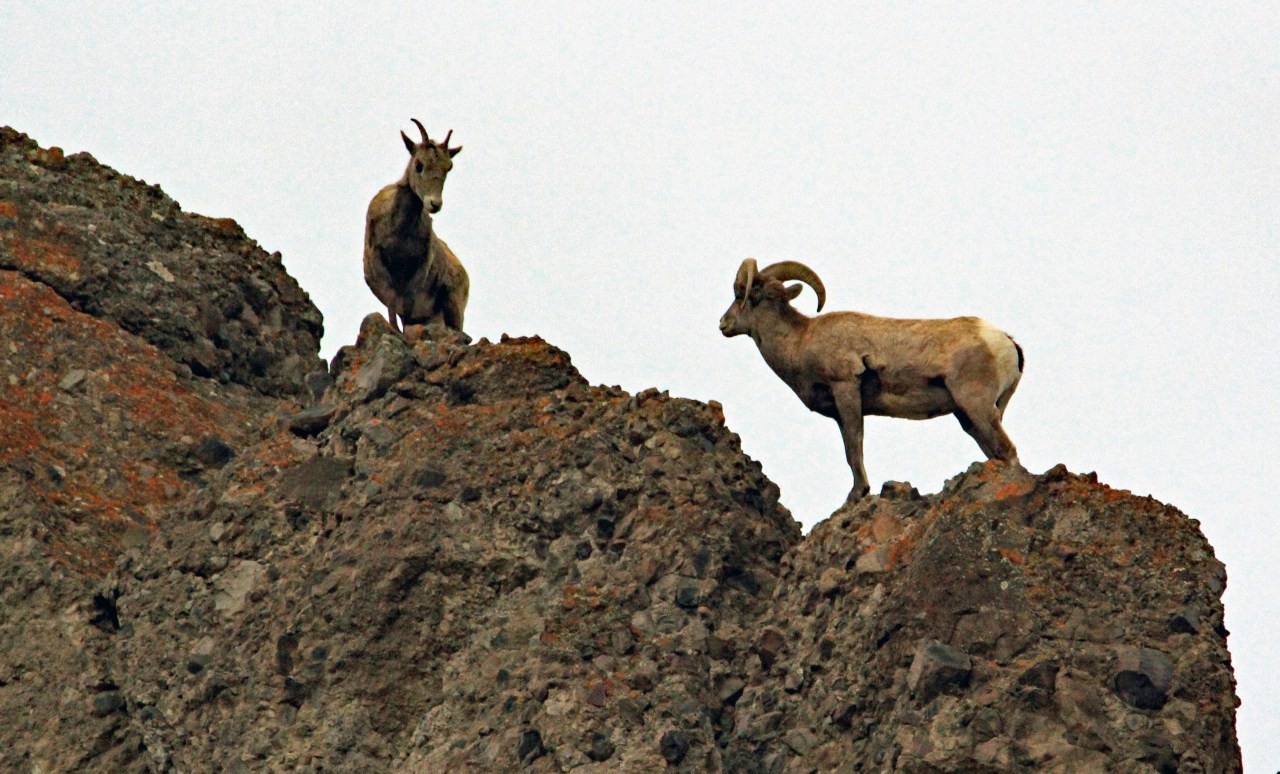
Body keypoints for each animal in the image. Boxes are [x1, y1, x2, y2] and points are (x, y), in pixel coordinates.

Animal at [364, 118, 468, 334]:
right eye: (419, 164)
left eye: (448, 167)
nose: (434, 204)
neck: (400, 233)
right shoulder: (382, 266)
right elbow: (392, 303)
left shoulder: (419, 270)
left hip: (453, 305)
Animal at [719, 258, 1024, 502]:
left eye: (741, 294)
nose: (723, 324)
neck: (799, 341)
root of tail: (1006, 342)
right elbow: (849, 449)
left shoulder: (845, 389)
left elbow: (855, 446)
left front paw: (858, 494)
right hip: (969, 417)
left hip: (976, 406)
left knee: (1007, 450)